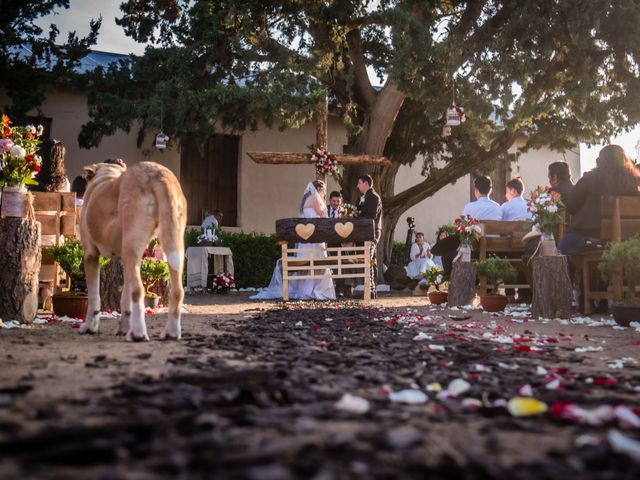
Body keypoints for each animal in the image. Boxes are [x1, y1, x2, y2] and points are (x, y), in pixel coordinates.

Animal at [79, 162, 186, 342]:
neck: (106, 176)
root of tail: (156, 172)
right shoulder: (126, 260)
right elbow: (125, 298)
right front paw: (123, 328)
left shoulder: (90, 256)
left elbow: (94, 297)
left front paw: (89, 327)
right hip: (173, 245)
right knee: (177, 291)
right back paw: (171, 332)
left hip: (131, 245)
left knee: (138, 290)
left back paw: (137, 333)